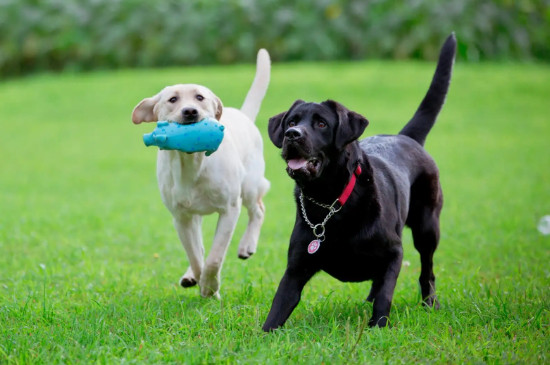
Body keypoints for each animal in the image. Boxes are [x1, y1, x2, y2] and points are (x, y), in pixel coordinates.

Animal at [134, 49, 272, 298]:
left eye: (200, 97)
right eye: (172, 99)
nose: (190, 111)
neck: (191, 164)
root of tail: (243, 114)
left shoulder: (229, 210)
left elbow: (215, 258)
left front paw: (210, 286)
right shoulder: (181, 217)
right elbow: (195, 255)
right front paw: (200, 280)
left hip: (249, 186)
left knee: (258, 210)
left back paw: (247, 245)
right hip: (195, 213)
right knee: (199, 245)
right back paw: (191, 275)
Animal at [264, 34, 458, 330]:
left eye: (321, 124)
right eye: (291, 121)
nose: (292, 134)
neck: (329, 201)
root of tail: (406, 137)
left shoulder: (394, 253)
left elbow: (386, 294)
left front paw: (377, 327)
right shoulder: (296, 267)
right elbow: (276, 309)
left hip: (427, 227)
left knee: (427, 270)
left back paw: (430, 303)